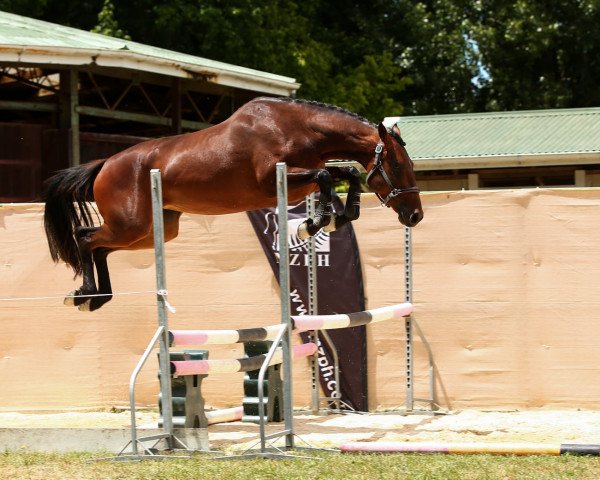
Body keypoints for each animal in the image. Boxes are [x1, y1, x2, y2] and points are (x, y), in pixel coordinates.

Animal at [43, 97, 422, 312]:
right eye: (397, 165)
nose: (415, 215)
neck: (295, 128)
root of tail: (104, 164)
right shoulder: (274, 180)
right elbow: (328, 177)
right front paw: (312, 224)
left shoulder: (300, 179)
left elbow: (345, 174)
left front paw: (331, 218)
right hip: (131, 225)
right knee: (85, 237)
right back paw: (85, 295)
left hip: (153, 231)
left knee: (100, 246)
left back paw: (98, 298)